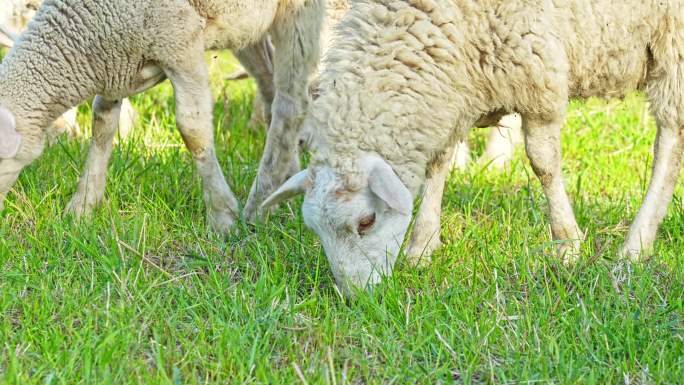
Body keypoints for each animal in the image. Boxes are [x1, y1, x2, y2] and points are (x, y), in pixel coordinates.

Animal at [264, 0, 684, 294]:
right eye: (315, 229)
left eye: (365, 222)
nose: (355, 298)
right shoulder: (457, 88)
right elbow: (437, 164)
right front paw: (422, 245)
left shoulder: (537, 75)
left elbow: (543, 164)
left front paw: (567, 244)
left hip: (673, 39)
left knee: (670, 137)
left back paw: (636, 245)